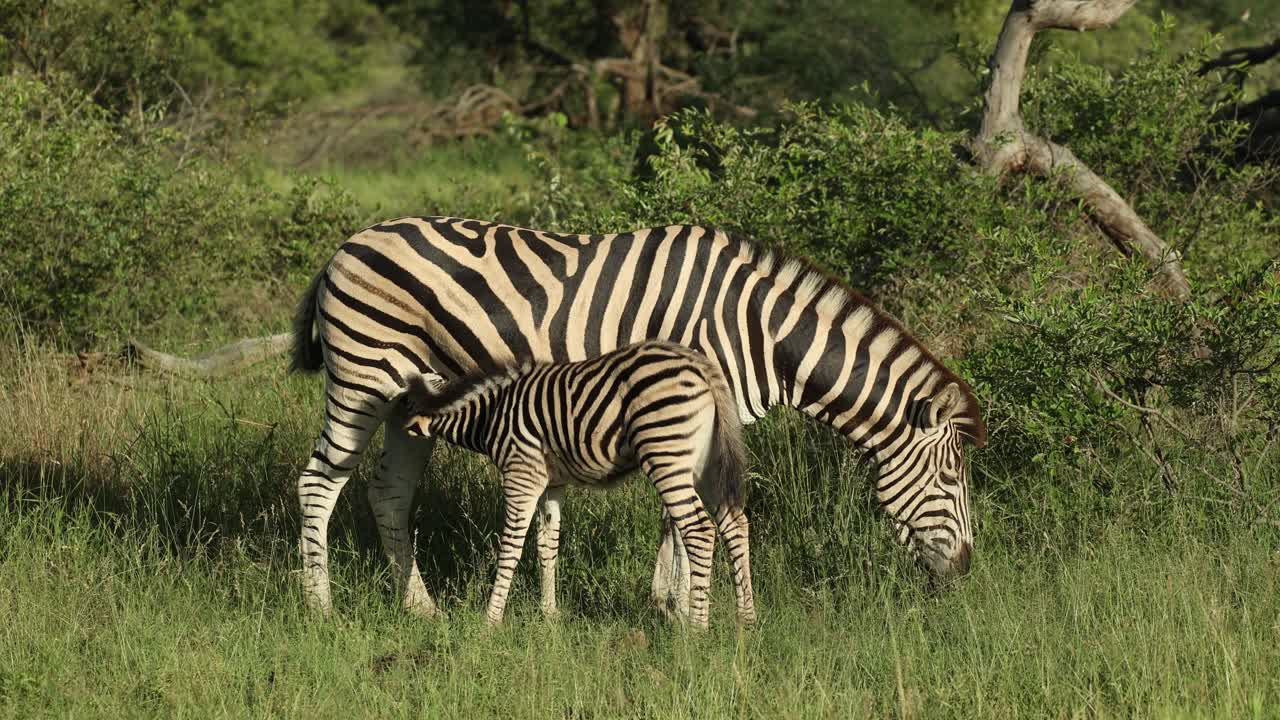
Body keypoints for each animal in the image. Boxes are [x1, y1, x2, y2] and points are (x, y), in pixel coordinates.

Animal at [398, 340, 755, 628]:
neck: (490, 414)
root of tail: (701, 365)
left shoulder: (521, 475)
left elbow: (511, 547)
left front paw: (491, 620)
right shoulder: (551, 485)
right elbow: (547, 545)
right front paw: (550, 613)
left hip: (666, 452)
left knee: (700, 530)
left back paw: (697, 629)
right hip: (704, 464)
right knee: (734, 523)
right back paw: (746, 622)